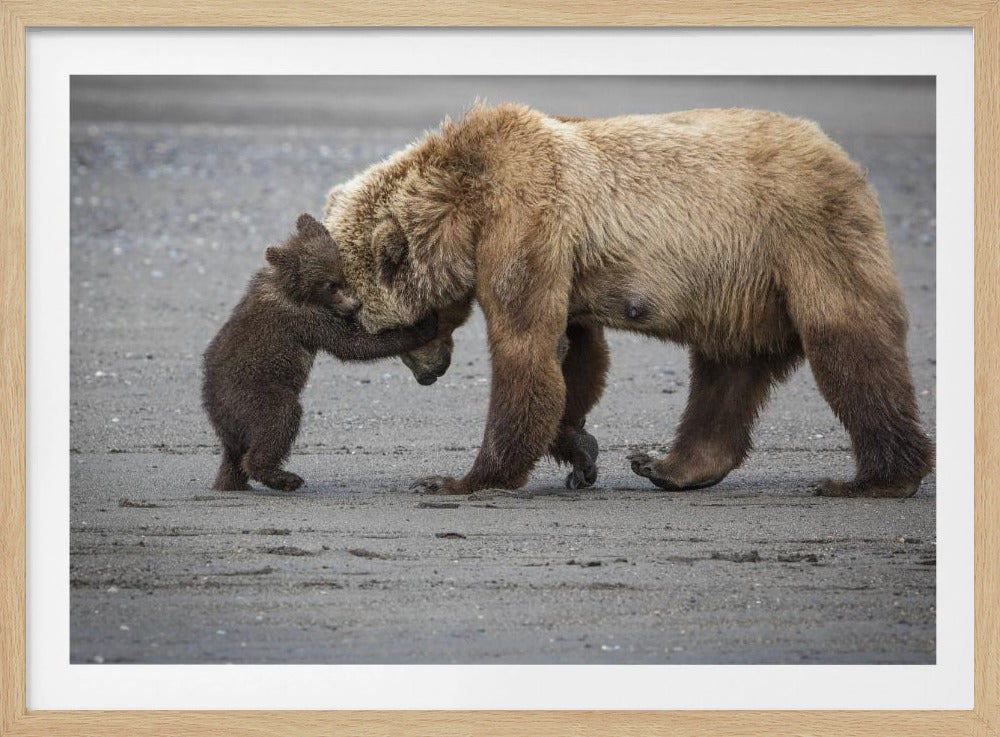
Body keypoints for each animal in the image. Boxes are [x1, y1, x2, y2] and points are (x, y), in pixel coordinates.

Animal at [202, 213, 437, 492]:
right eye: (330, 285)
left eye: (342, 275)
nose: (355, 304)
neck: (294, 290)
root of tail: (216, 413)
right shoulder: (306, 318)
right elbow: (352, 344)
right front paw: (423, 325)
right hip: (252, 394)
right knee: (279, 419)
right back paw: (283, 477)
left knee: (234, 457)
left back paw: (232, 482)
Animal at [323, 103, 934, 499]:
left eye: (385, 328)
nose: (429, 375)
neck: (465, 203)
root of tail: (841, 156)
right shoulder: (561, 257)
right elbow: (574, 354)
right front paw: (580, 450)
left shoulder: (526, 219)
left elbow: (525, 348)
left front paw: (461, 478)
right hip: (740, 288)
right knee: (727, 371)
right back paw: (669, 466)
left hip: (802, 237)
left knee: (849, 344)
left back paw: (876, 479)